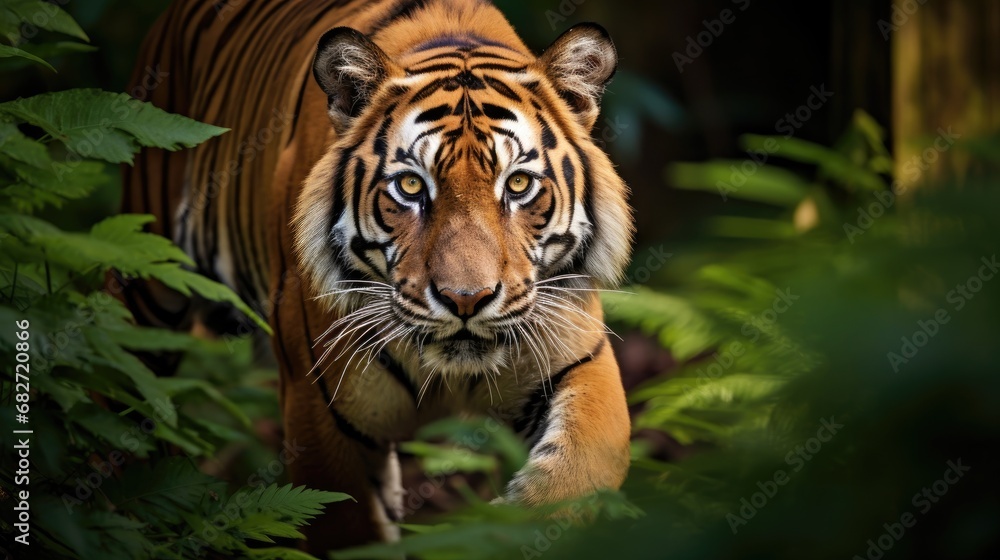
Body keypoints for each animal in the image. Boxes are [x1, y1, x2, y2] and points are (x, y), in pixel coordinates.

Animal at [113, 0, 632, 552]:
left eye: (517, 184)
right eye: (410, 186)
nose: (465, 300)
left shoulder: (578, 356)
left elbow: (578, 476)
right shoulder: (320, 414)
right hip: (146, 282)